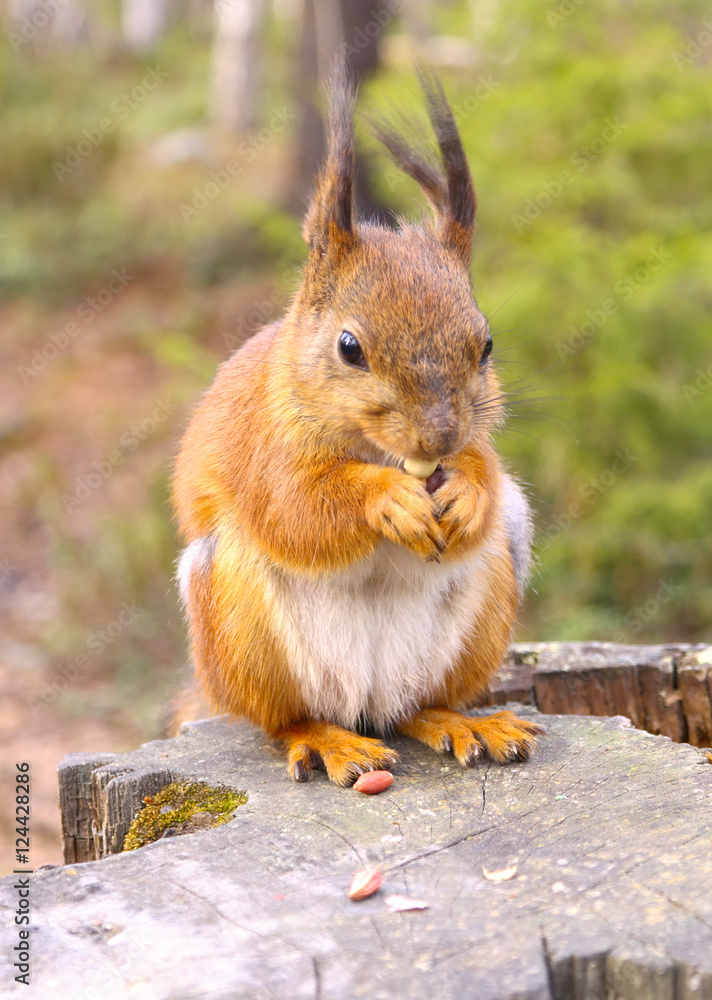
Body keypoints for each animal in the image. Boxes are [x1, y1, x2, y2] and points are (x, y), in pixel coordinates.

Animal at [172, 66, 544, 784]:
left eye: (485, 344)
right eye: (350, 348)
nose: (438, 439)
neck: (379, 451)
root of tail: (365, 702)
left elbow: (486, 470)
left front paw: (466, 489)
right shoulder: (263, 450)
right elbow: (295, 509)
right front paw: (387, 500)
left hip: (486, 604)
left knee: (419, 706)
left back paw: (462, 721)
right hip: (237, 627)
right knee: (283, 719)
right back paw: (325, 740)